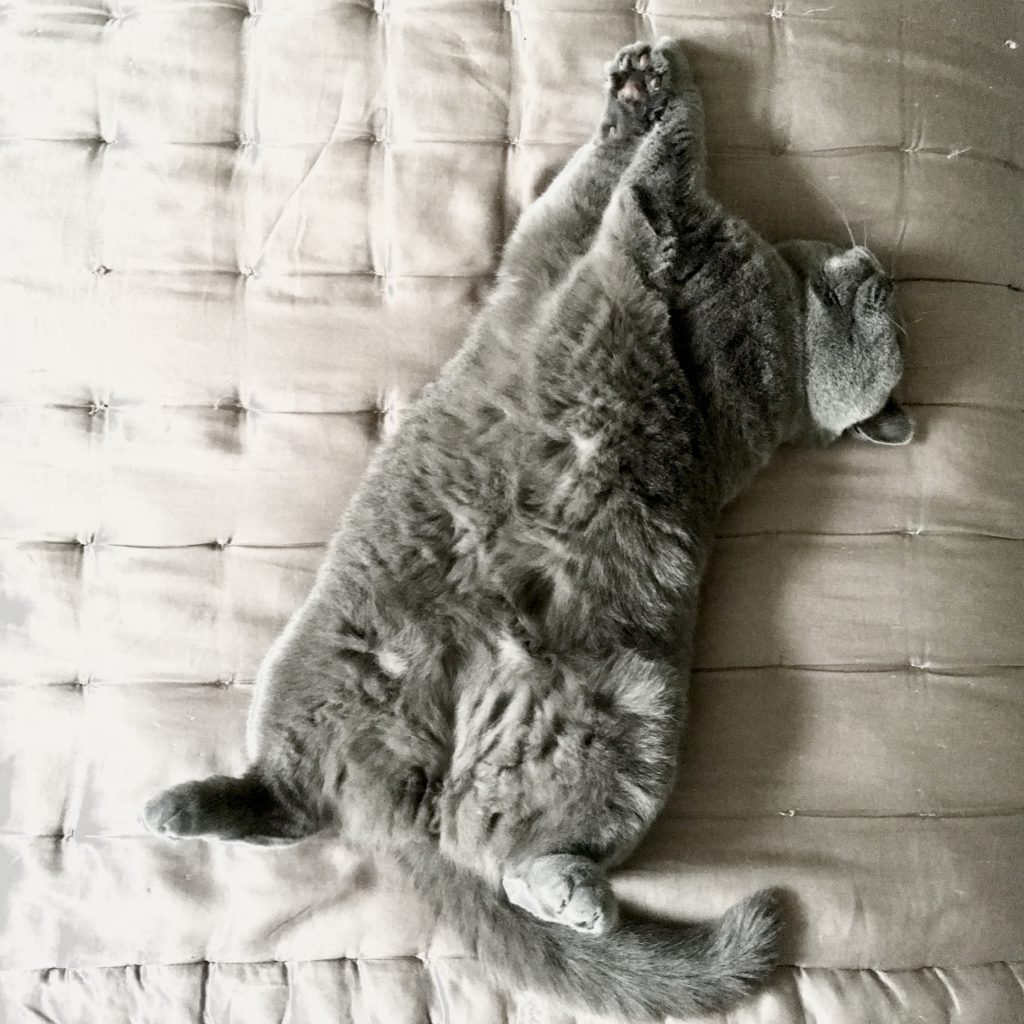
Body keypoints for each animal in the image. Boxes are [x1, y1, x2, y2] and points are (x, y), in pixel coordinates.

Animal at [142, 37, 913, 1015]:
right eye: (891, 311)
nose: (881, 270)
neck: (781, 293)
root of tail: (406, 811)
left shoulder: (660, 243)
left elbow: (663, 174)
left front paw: (669, 98)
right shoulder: (552, 244)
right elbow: (604, 177)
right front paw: (640, 85)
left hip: (631, 721)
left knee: (504, 859)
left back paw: (573, 895)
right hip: (326, 666)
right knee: (309, 801)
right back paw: (182, 809)